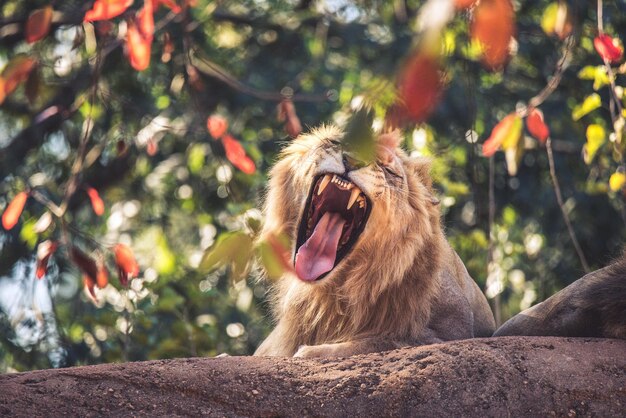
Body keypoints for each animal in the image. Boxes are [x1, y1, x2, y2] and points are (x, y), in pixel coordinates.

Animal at [252, 124, 492, 356]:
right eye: (336, 142)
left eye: (387, 168)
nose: (352, 159)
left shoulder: (451, 332)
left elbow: (381, 341)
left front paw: (311, 351)